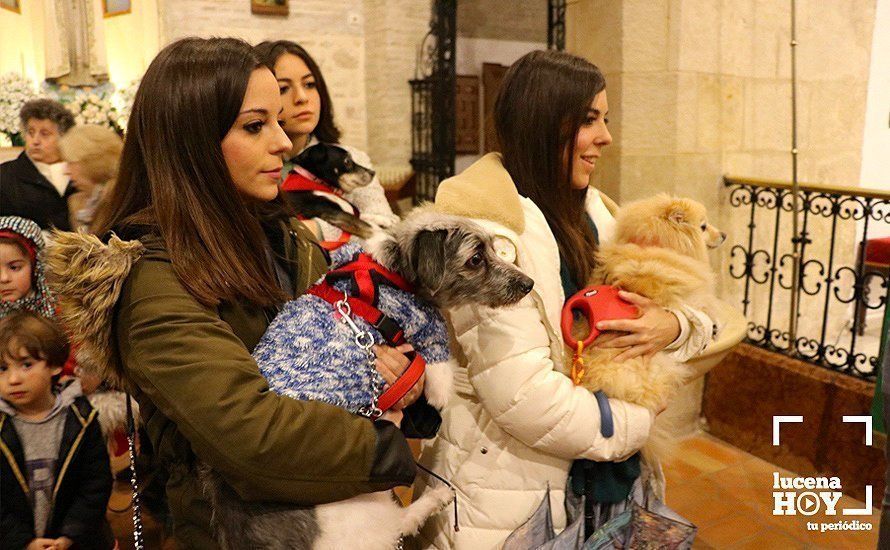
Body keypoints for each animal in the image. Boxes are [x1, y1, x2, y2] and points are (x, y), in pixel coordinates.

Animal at [203, 208, 536, 550]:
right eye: (475, 259)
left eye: (495, 249)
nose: (529, 284)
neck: (393, 271)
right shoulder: (430, 341)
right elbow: (442, 382)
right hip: (364, 511)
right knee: (400, 523)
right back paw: (437, 497)